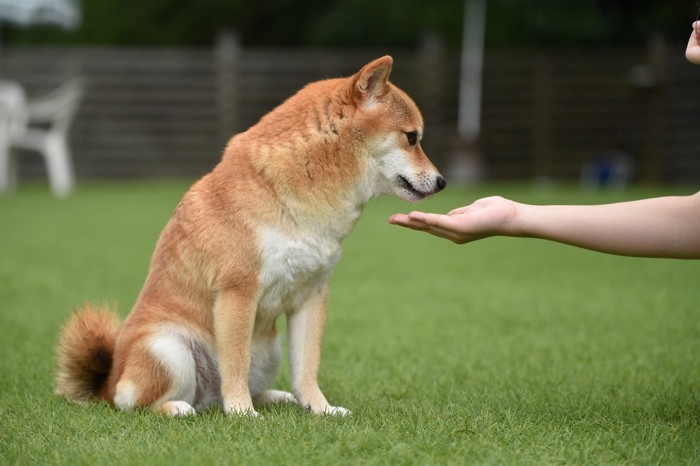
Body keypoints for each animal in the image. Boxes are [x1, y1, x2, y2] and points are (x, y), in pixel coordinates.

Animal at [57, 56, 446, 416]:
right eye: (412, 138)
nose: (442, 182)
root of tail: (106, 383)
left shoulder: (311, 295)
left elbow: (307, 369)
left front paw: (321, 409)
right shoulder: (238, 293)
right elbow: (236, 363)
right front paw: (242, 413)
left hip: (269, 349)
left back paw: (274, 398)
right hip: (168, 349)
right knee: (136, 403)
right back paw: (179, 408)